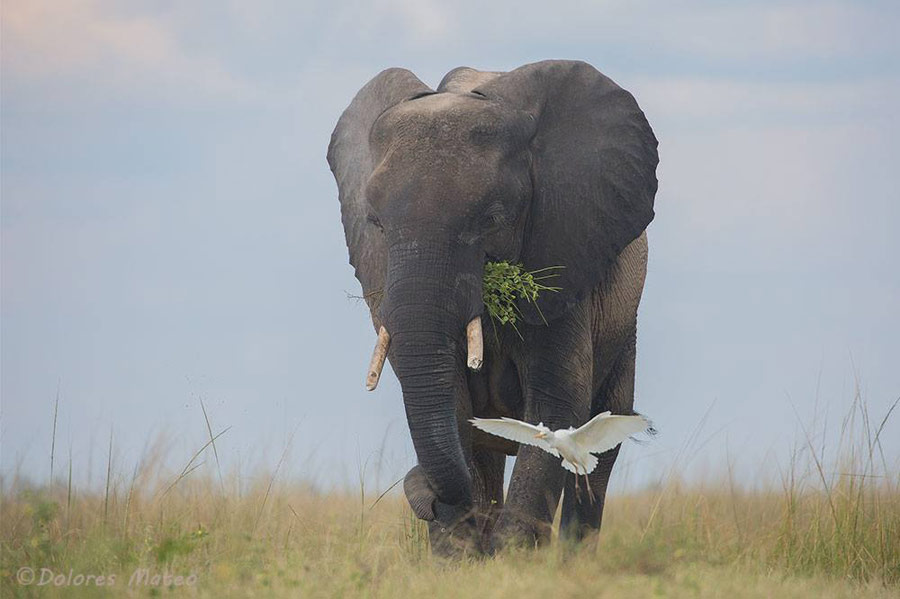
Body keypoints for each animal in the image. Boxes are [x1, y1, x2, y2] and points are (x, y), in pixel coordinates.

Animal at [326, 58, 656, 556]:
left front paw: (511, 556)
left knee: (601, 450)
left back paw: (571, 559)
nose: (427, 494)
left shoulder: (561, 255)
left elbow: (557, 399)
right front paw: (460, 558)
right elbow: (452, 401)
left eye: (492, 219)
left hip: (623, 329)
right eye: (376, 224)